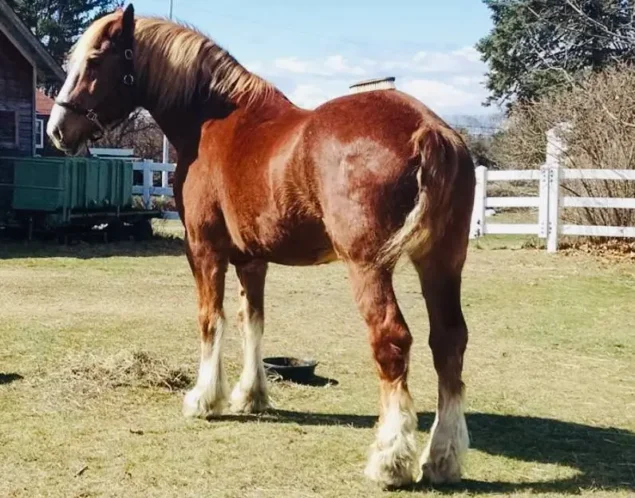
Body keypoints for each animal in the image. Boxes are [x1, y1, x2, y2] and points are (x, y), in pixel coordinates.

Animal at [47, 2, 476, 486]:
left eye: (95, 60)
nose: (58, 130)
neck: (211, 120)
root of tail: (427, 129)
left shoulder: (204, 249)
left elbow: (210, 320)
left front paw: (203, 399)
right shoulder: (253, 259)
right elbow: (252, 320)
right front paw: (250, 395)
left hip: (368, 266)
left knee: (392, 340)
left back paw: (390, 460)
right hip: (442, 262)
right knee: (449, 341)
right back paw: (442, 458)